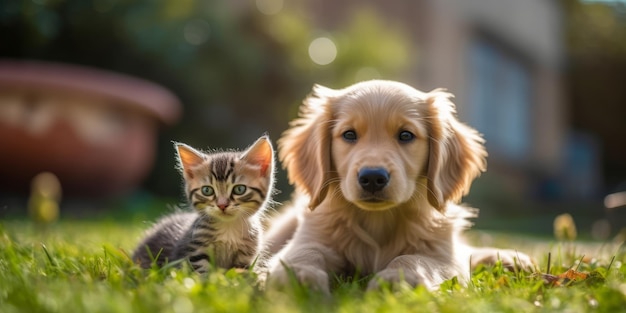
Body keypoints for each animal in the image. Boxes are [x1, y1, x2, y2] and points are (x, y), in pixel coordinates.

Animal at [133, 135, 274, 272]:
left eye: (239, 189)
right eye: (207, 190)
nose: (222, 205)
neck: (228, 228)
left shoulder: (246, 257)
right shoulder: (195, 250)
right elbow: (200, 274)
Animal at [266, 78, 532, 292]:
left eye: (406, 135)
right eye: (349, 134)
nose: (373, 177)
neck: (378, 220)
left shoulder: (442, 257)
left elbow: (412, 259)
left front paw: (396, 280)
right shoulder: (312, 236)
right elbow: (304, 252)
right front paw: (296, 276)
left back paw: (508, 259)